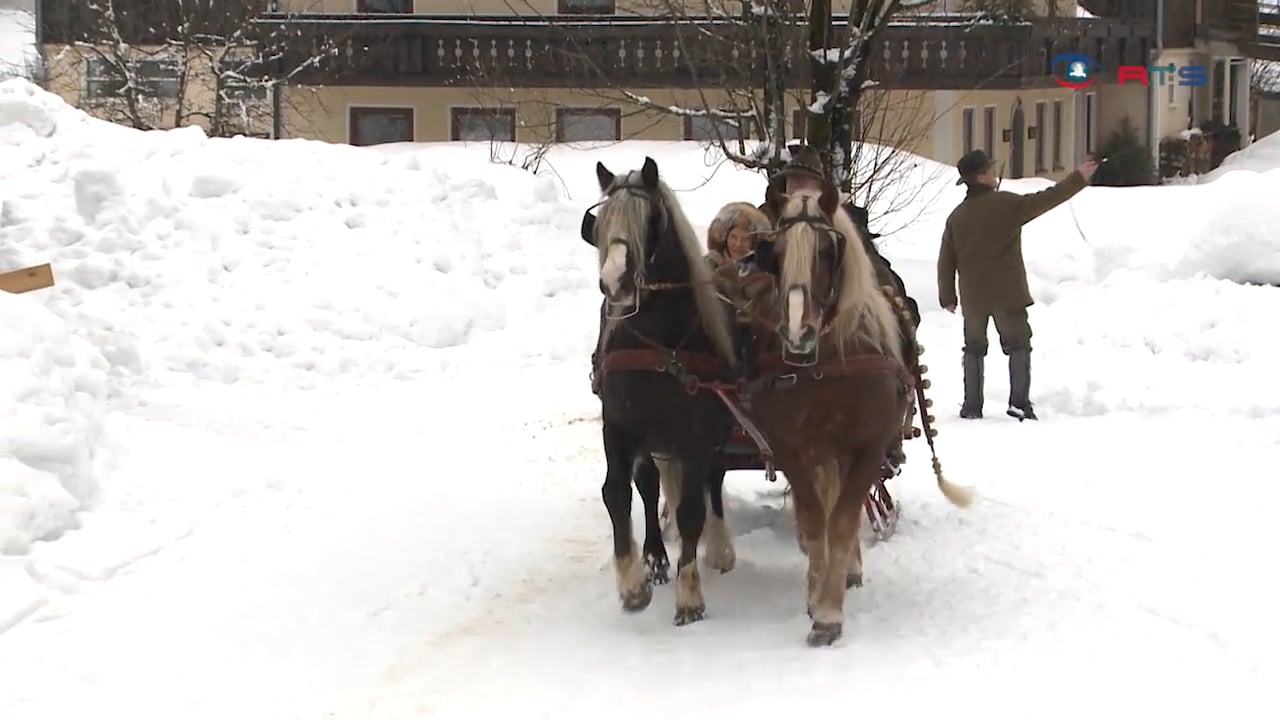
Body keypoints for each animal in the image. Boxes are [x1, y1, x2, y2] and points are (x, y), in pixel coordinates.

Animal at [588, 156, 742, 622]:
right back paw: (655, 557)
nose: (613, 281)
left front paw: (689, 594)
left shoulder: (697, 433)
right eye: (601, 222)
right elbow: (618, 492)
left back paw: (719, 546)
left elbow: (692, 508)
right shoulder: (618, 424)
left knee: (712, 481)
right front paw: (632, 583)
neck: (657, 342)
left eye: (651, 220)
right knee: (649, 482)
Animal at [747, 183, 972, 645]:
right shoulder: (792, 446)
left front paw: (829, 612)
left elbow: (843, 519)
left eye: (827, 251)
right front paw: (817, 593)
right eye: (774, 253)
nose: (797, 335)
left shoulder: (868, 446)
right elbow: (816, 519)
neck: (827, 361)